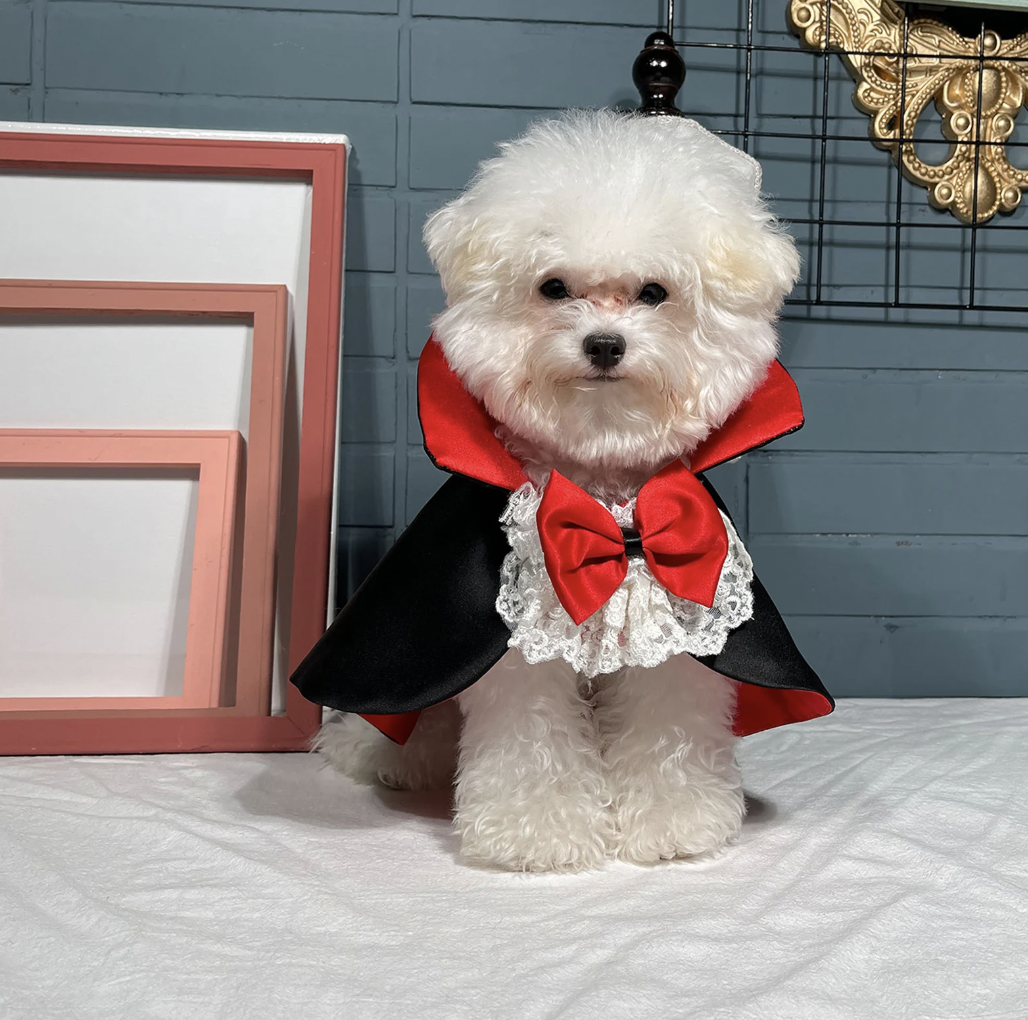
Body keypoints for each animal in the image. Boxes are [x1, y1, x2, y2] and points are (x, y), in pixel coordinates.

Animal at [316, 113, 797, 876]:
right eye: (553, 287)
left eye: (654, 292)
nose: (603, 345)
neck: (600, 493)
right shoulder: (518, 656)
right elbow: (531, 743)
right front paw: (535, 833)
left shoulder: (676, 647)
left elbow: (667, 731)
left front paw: (675, 822)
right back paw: (384, 759)